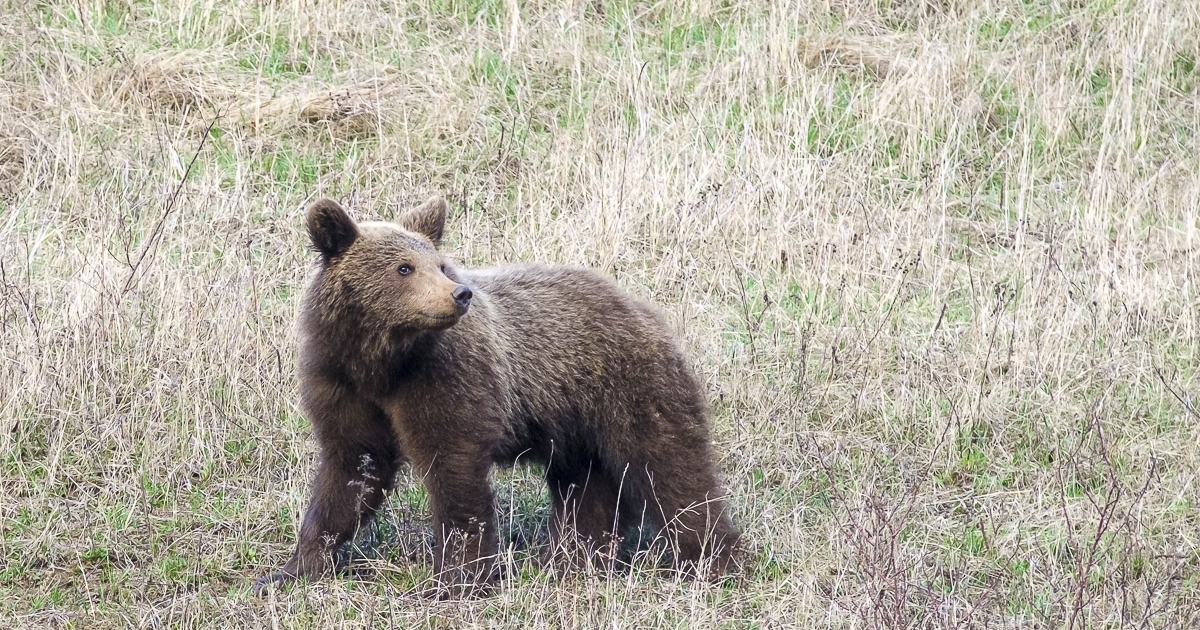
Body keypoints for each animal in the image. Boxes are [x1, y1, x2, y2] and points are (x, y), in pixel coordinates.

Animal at [258, 196, 734, 595]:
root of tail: (641, 306)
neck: (382, 361)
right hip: (574, 421)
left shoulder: (444, 379)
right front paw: (291, 569)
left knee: (671, 468)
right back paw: (573, 559)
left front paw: (457, 579)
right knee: (586, 487)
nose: (460, 294)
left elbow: (454, 472)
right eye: (404, 268)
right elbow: (352, 470)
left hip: (627, 388)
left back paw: (712, 561)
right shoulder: (342, 386)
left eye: (440, 265)